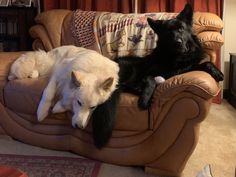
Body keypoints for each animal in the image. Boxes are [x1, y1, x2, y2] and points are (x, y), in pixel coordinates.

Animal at [91, 3, 224, 148]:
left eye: (181, 29)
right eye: (168, 32)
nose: (178, 42)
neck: (176, 58)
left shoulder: (182, 69)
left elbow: (203, 63)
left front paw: (216, 71)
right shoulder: (150, 73)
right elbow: (151, 79)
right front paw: (145, 99)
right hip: (131, 69)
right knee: (124, 85)